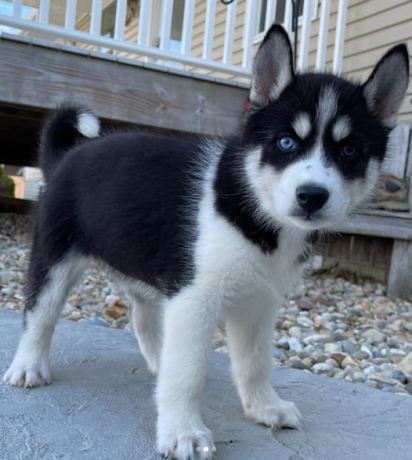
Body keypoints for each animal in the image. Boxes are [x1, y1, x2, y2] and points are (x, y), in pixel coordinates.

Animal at [3, 26, 408, 460]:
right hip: (55, 255)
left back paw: (157, 361)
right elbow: (188, 372)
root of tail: (66, 156)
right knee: (40, 313)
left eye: (349, 150)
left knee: (143, 319)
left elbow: (254, 363)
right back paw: (28, 365)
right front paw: (183, 431)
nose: (311, 196)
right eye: (285, 143)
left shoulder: (258, 304)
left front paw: (264, 406)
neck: (258, 214)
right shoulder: (194, 297)